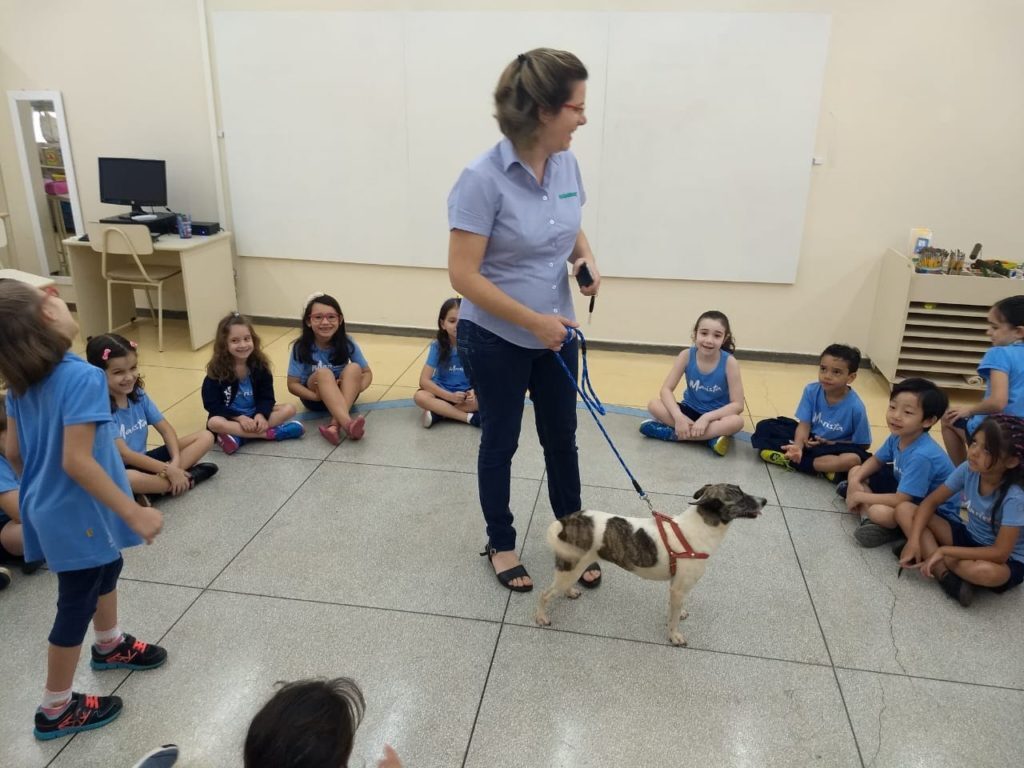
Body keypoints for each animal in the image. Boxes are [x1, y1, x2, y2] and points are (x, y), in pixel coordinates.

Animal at [532, 483, 765, 647]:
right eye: (739, 496)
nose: (765, 500)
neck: (701, 526)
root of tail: (566, 521)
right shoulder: (679, 588)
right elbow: (673, 620)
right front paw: (674, 636)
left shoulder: (676, 587)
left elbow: (673, 609)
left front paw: (679, 613)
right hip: (571, 567)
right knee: (544, 594)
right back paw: (541, 617)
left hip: (573, 568)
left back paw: (570, 592)